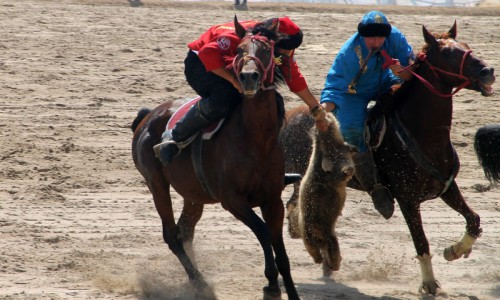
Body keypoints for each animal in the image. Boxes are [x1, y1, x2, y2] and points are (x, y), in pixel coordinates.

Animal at [131, 17, 298, 300]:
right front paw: (271, 283)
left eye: (268, 50)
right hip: (157, 184)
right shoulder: (232, 200)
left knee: (185, 231)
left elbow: (281, 249)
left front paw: (287, 288)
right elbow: (263, 232)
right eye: (239, 49)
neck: (255, 139)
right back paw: (200, 283)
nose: (249, 78)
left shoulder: (273, 200)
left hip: (193, 194)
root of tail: (147, 116)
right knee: (172, 235)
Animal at [282, 23, 496, 296]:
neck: (421, 134)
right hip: (300, 176)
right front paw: (429, 283)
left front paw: (454, 251)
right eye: (448, 53)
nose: (487, 71)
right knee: (294, 208)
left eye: (467, 47)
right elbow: (421, 242)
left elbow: (473, 219)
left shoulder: (447, 187)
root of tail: (290, 115)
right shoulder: (407, 200)